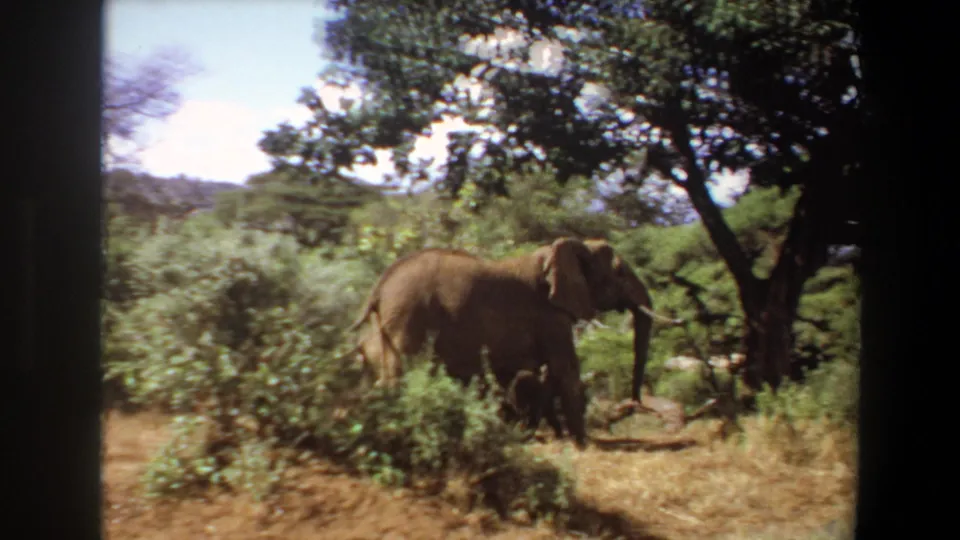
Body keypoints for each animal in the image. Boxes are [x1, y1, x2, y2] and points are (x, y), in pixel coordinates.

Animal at [347, 237, 679, 449]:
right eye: (620, 273)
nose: (636, 403)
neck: (561, 250)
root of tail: (379, 287)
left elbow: (539, 377)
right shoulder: (550, 315)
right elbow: (566, 371)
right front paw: (583, 445)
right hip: (408, 315)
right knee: (397, 378)